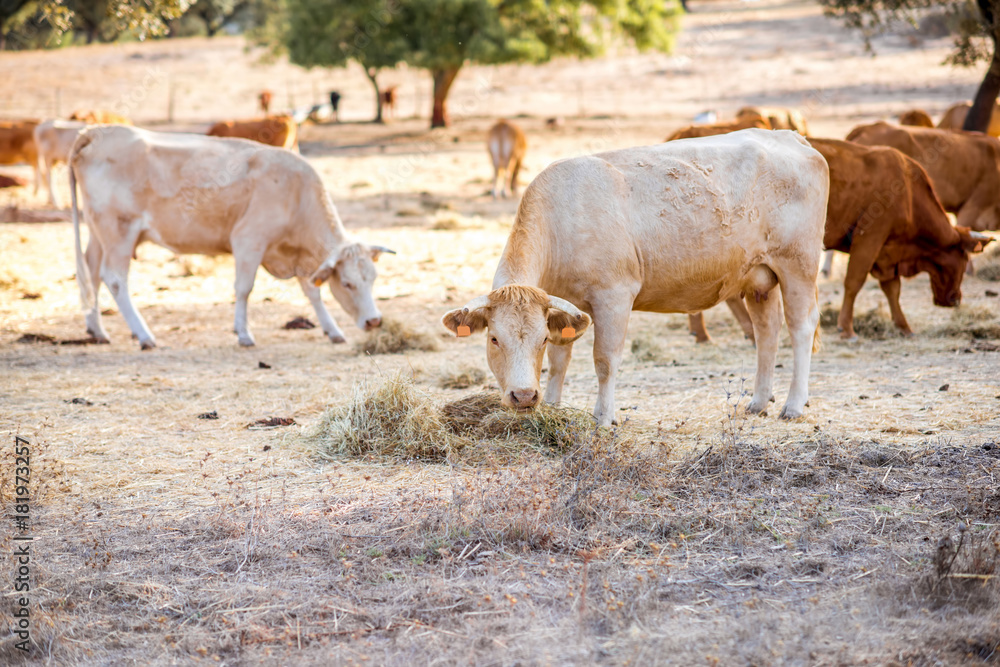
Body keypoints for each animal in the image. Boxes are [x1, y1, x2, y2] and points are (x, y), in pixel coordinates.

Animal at [444, 128, 828, 426]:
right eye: (494, 339)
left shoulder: (614, 296)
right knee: (767, 331)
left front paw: (603, 417)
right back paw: (759, 401)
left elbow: (605, 360)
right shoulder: (563, 305)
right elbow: (559, 362)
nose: (524, 396)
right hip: (759, 277)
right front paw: (552, 407)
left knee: (801, 327)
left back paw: (794, 404)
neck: (562, 220)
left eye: (538, 340)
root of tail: (792, 138)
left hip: (799, 264)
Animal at [688, 138, 992, 342]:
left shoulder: (886, 251)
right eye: (963, 258)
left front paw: (904, 326)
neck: (906, 188)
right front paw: (846, 328)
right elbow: (854, 282)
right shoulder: (870, 237)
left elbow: (891, 289)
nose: (955, 300)